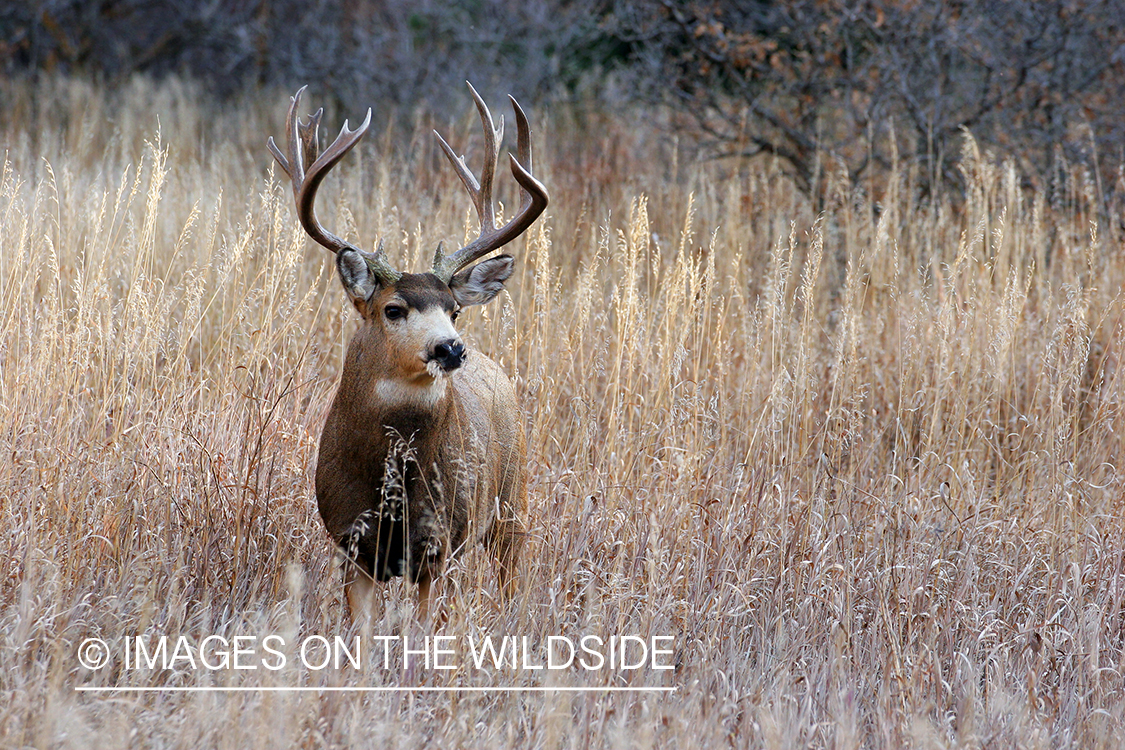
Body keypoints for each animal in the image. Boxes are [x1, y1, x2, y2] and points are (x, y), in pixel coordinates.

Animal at [270, 83, 551, 620]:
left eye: (454, 310)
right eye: (394, 309)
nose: (450, 347)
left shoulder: (438, 542)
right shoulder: (351, 541)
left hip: (514, 501)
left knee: (513, 578)